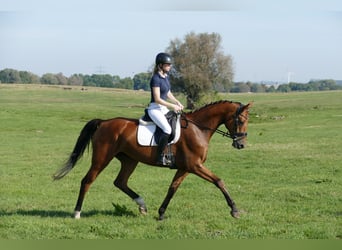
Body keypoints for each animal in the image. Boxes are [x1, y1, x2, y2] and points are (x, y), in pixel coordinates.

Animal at [52, 100, 251, 220]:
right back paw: (77, 212)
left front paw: (161, 213)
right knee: (87, 181)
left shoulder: (186, 168)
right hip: (102, 159)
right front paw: (234, 210)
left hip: (130, 160)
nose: (241, 144)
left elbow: (173, 188)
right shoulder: (195, 166)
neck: (198, 129)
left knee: (120, 182)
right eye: (240, 121)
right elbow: (219, 181)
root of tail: (104, 122)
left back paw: (142, 206)